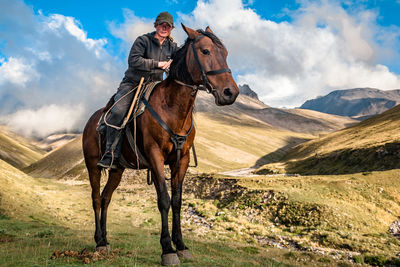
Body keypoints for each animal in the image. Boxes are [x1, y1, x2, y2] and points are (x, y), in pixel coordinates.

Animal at [81, 24, 238, 266]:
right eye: (205, 51)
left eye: (226, 53)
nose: (231, 93)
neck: (173, 108)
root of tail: (91, 121)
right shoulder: (155, 156)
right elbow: (163, 200)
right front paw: (167, 250)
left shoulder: (181, 160)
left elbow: (177, 201)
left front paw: (181, 245)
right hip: (93, 165)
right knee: (97, 198)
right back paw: (98, 241)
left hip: (117, 169)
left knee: (106, 198)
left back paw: (105, 241)